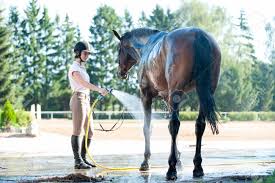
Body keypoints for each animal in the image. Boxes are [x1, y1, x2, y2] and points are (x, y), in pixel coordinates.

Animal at [113, 27, 223, 180]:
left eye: (119, 49)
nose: (120, 72)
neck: (146, 46)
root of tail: (198, 34)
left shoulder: (146, 96)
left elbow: (148, 127)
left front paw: (146, 161)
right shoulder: (167, 98)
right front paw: (179, 161)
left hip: (176, 92)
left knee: (175, 125)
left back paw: (171, 169)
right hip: (205, 91)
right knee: (199, 125)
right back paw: (197, 167)